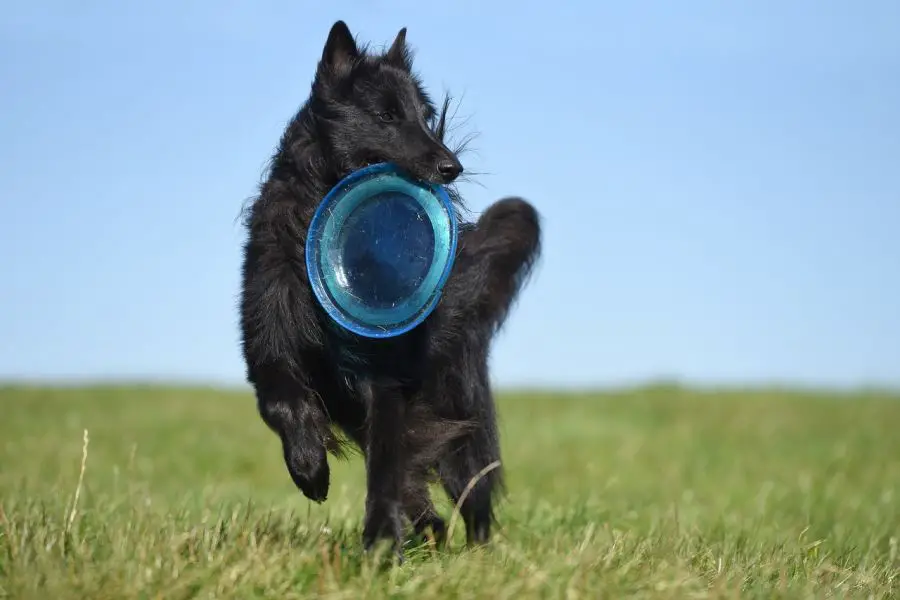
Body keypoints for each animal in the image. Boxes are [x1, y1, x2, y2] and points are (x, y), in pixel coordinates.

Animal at [237, 21, 540, 560]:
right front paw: (310, 468)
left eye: (426, 117)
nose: (452, 167)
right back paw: (428, 532)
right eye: (386, 116)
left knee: (471, 495)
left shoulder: (384, 383)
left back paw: (477, 557)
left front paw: (378, 543)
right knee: (425, 495)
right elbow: (283, 403)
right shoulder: (267, 346)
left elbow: (384, 466)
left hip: (461, 421)